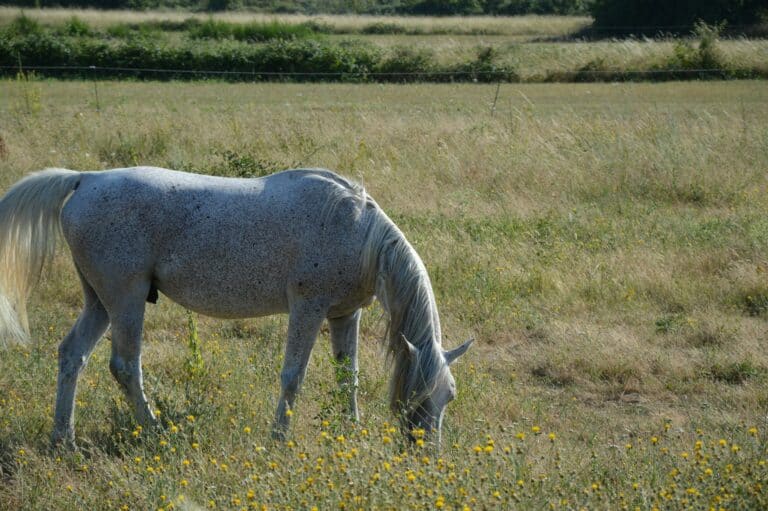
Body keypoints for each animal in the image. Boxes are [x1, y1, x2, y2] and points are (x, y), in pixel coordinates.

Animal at [0, 166, 472, 448]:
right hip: (126, 299)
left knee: (72, 355)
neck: (356, 231)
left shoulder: (343, 315)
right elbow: (293, 376)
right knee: (125, 366)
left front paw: (348, 431)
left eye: (448, 395)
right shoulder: (308, 308)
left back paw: (64, 439)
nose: (427, 451)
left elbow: (348, 377)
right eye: (420, 396)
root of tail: (87, 178)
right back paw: (155, 430)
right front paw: (279, 439)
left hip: (101, 301)